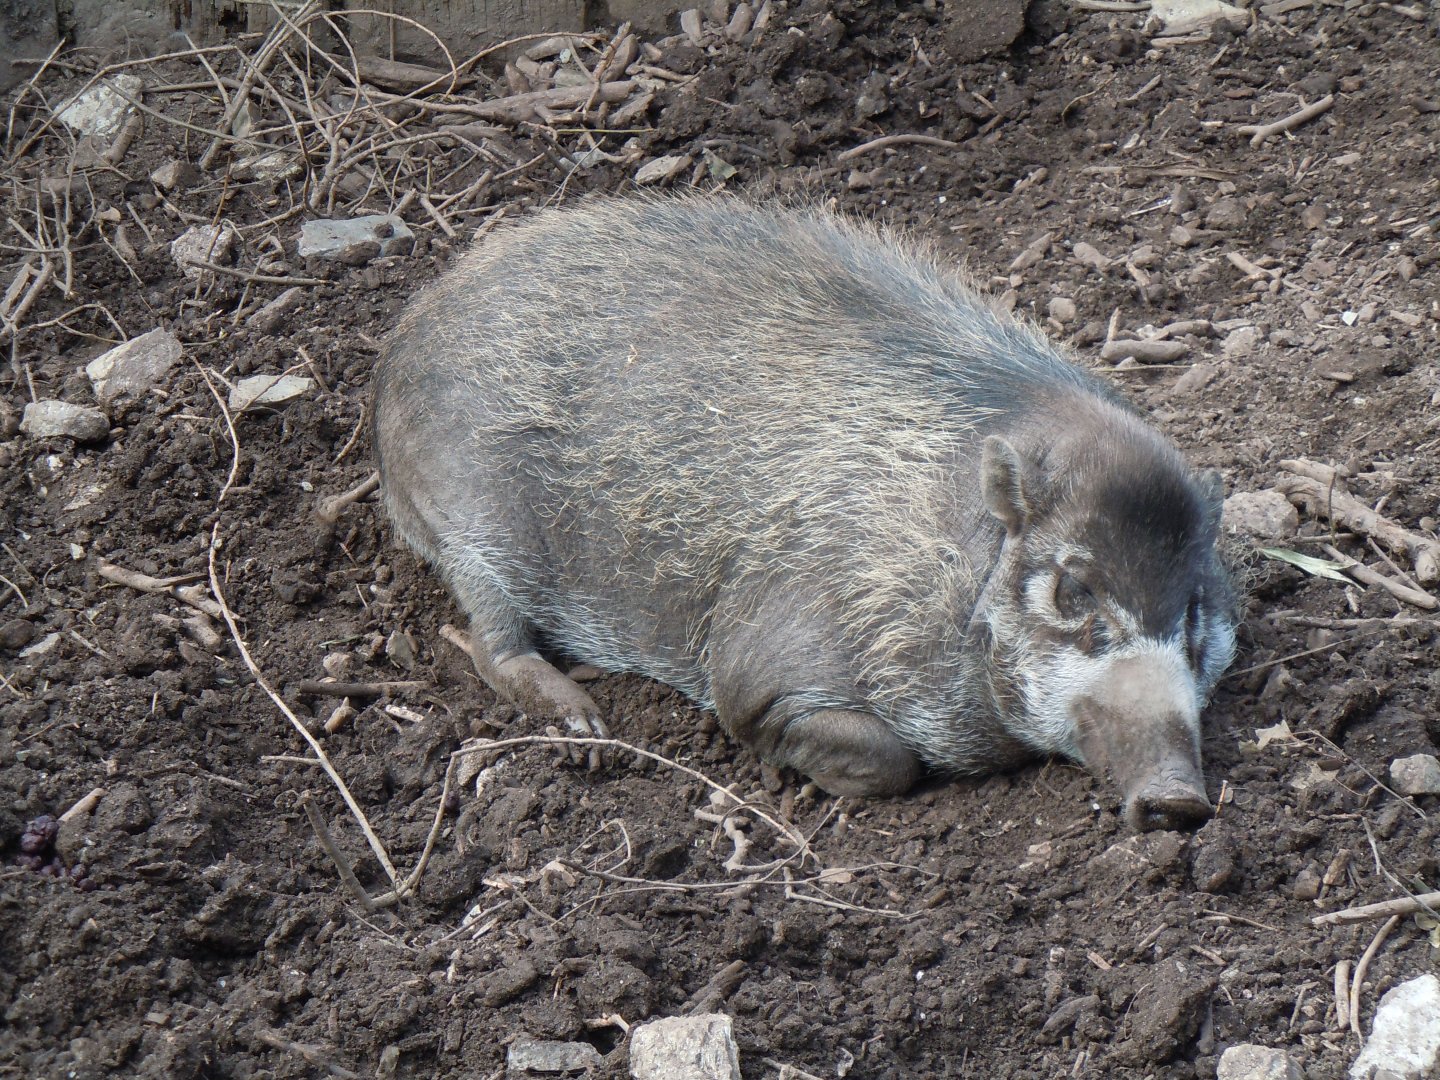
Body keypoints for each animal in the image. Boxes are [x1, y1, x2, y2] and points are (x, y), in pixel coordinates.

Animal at [373, 196, 1237, 831]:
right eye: (1071, 589)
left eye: (1197, 611)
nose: (1178, 800)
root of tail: (410, 331)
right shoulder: (759, 664)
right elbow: (877, 754)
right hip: (470, 521)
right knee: (491, 640)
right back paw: (586, 730)